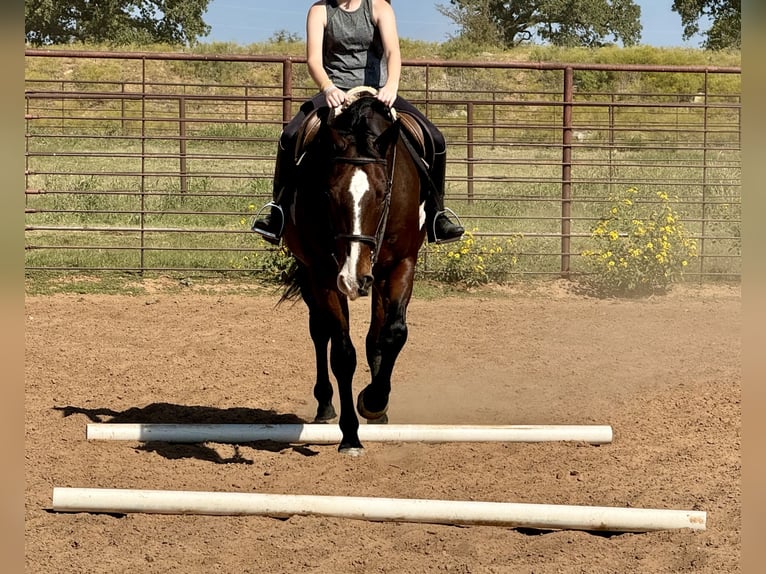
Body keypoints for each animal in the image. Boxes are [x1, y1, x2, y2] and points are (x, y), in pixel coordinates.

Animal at [280, 88, 428, 456]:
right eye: (329, 194)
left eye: (383, 193)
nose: (354, 278)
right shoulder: (323, 273)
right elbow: (342, 353)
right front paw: (350, 434)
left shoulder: (402, 263)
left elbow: (393, 334)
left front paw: (374, 402)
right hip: (310, 272)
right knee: (320, 332)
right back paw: (324, 406)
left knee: (375, 334)